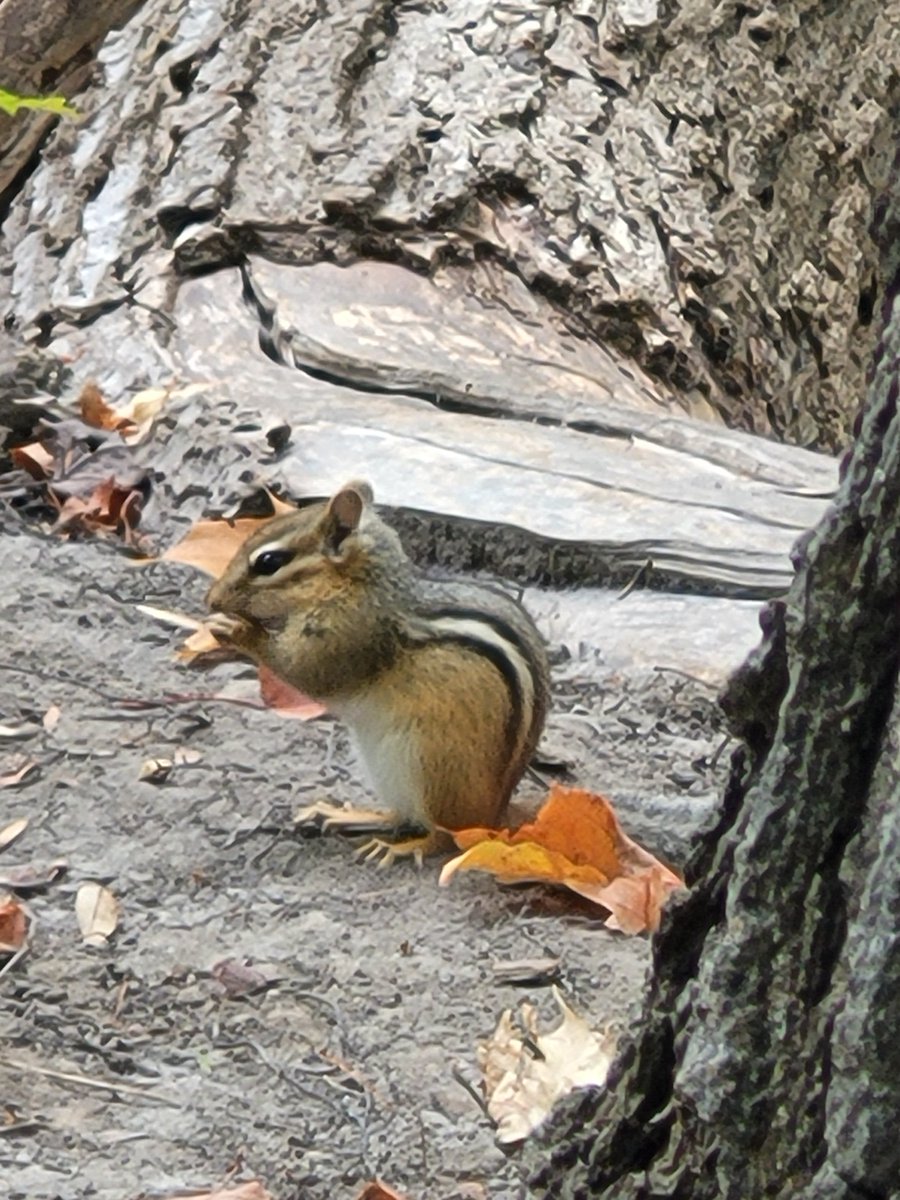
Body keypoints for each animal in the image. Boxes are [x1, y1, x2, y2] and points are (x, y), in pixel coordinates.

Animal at [206, 481, 550, 866]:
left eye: (269, 562)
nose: (211, 599)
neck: (361, 583)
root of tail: (495, 816)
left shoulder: (348, 634)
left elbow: (305, 670)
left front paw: (237, 631)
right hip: (385, 770)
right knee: (401, 815)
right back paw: (348, 815)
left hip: (433, 768)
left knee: (443, 838)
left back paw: (402, 847)